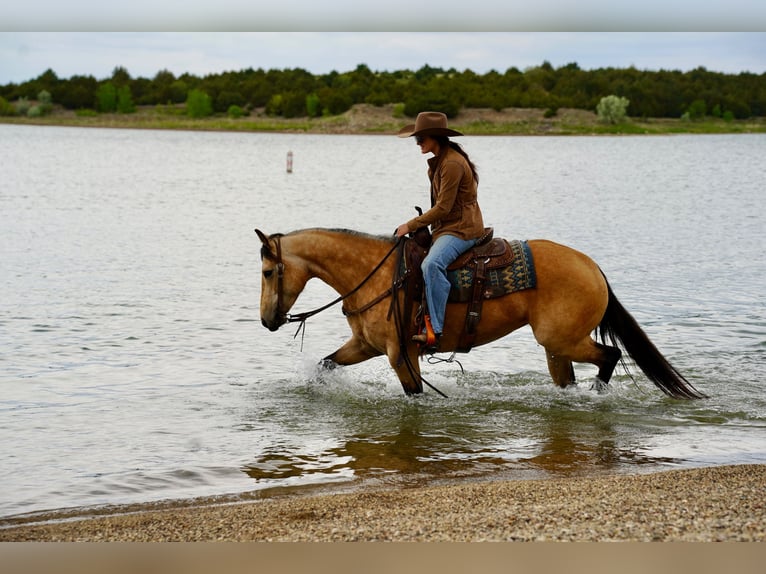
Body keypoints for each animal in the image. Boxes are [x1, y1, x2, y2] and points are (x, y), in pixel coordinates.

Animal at [255, 227, 706, 400]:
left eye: (267, 271)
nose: (266, 321)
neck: (377, 274)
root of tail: (593, 268)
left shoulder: (401, 354)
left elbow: (415, 395)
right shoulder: (365, 345)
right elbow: (326, 365)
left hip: (562, 340)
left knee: (609, 356)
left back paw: (598, 394)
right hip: (557, 349)